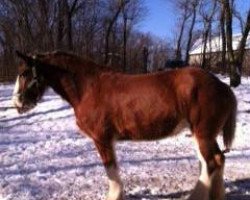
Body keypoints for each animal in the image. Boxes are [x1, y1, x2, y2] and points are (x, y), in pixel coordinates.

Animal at [12, 51, 236, 200]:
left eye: (24, 73)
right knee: (217, 160)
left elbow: (111, 169)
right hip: (203, 135)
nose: (17, 104)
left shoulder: (102, 139)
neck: (88, 88)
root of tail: (222, 86)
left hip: (203, 134)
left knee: (212, 162)